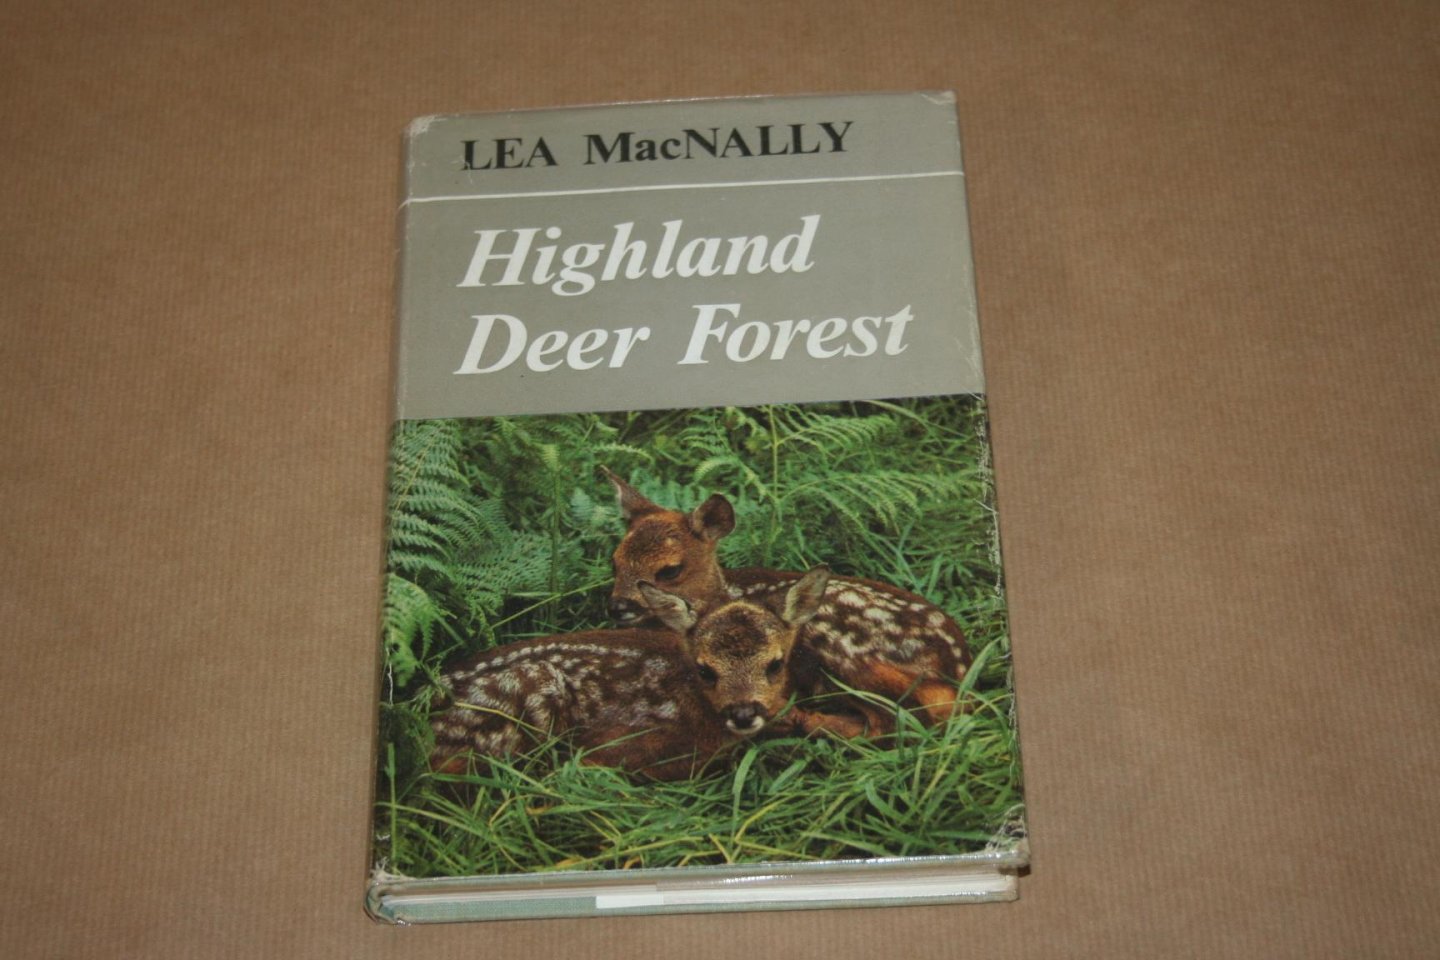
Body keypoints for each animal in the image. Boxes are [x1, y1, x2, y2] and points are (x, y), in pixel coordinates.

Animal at [602, 468, 972, 734]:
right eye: (614, 561)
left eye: (670, 570)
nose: (617, 607)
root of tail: (958, 669)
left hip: (835, 645)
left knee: (888, 723)